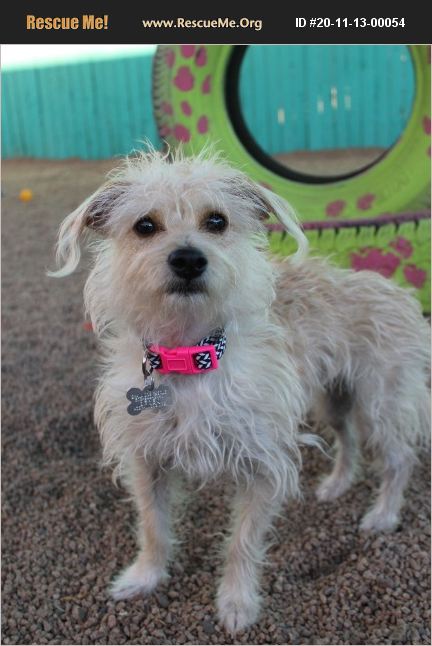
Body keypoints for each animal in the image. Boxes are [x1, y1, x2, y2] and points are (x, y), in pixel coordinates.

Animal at [52, 151, 430, 632]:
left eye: (217, 221)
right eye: (144, 225)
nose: (188, 259)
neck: (191, 356)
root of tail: (402, 294)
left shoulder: (263, 465)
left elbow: (242, 542)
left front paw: (236, 602)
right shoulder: (146, 460)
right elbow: (153, 526)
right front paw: (145, 576)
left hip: (381, 401)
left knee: (398, 459)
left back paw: (383, 514)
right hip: (333, 398)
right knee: (348, 439)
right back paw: (338, 483)